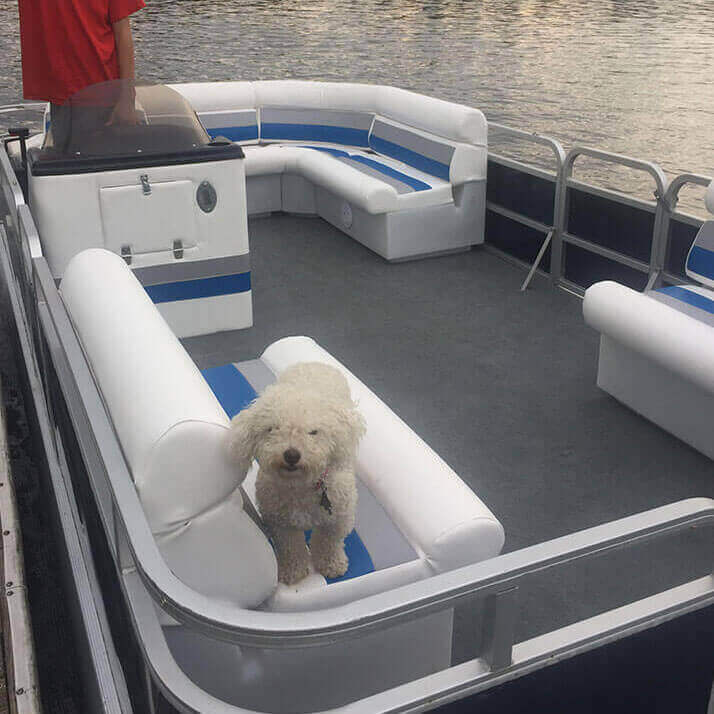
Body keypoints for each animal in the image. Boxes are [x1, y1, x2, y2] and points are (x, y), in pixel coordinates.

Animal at [225, 362, 364, 584]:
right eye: (272, 429)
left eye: (313, 432)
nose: (291, 455)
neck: (300, 486)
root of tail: (315, 363)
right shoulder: (281, 523)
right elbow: (291, 548)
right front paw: (293, 572)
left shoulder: (337, 518)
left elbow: (329, 542)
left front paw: (332, 565)